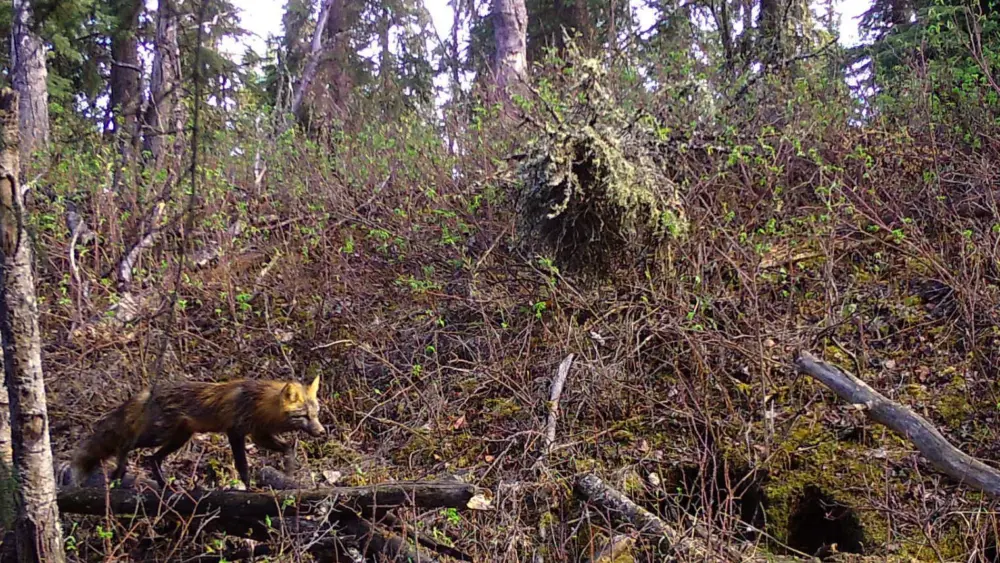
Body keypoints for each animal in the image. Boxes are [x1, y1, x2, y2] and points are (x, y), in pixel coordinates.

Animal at [72, 376, 325, 487]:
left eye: (316, 414)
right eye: (304, 416)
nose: (322, 432)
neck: (259, 404)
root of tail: (149, 392)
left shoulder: (259, 435)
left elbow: (288, 448)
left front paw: (289, 471)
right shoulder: (236, 433)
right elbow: (242, 466)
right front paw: (249, 489)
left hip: (178, 438)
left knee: (152, 459)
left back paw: (165, 487)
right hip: (158, 435)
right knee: (127, 445)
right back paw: (120, 471)